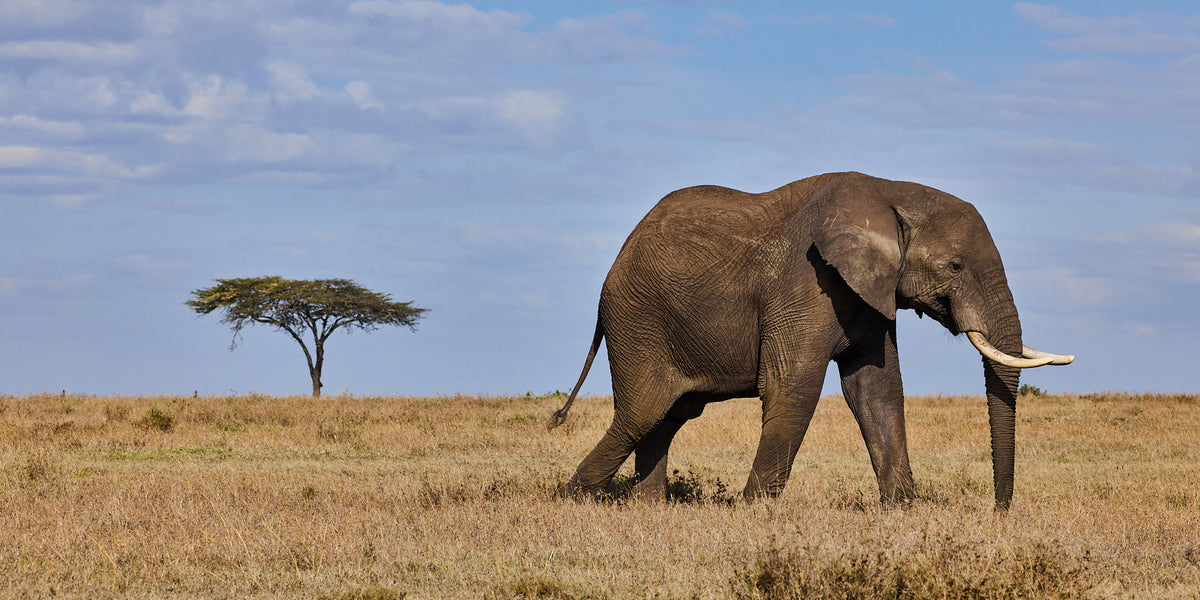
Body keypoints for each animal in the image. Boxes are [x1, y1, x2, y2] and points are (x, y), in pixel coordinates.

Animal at [549, 171, 1073, 509]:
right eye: (956, 266)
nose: (999, 511)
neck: (890, 192)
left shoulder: (867, 294)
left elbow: (877, 391)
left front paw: (904, 510)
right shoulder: (806, 282)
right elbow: (793, 387)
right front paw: (753, 512)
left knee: (667, 416)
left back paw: (648, 509)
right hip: (637, 320)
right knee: (643, 412)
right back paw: (571, 500)